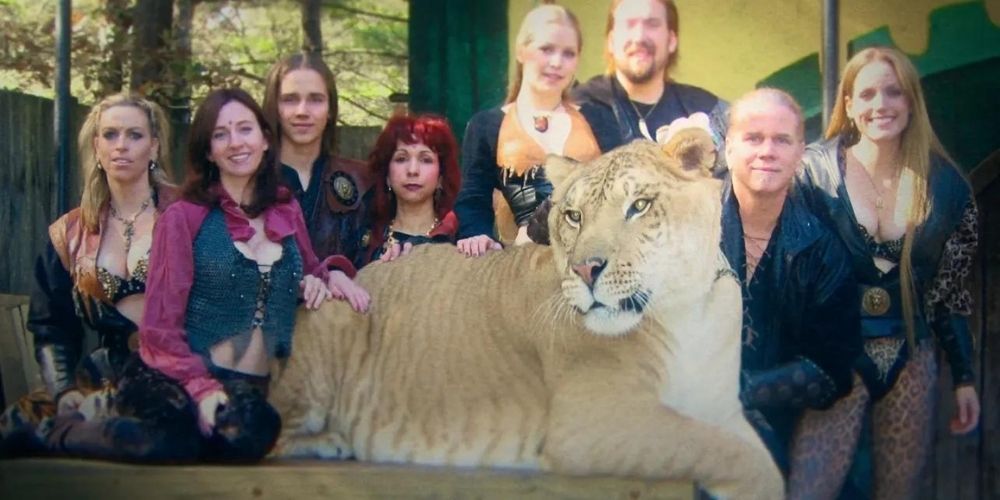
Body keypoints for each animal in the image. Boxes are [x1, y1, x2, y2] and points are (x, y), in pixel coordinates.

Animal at [270, 131, 784, 498]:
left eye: (639, 206)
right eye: (574, 216)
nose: (585, 268)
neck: (686, 309)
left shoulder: (721, 410)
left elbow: (754, 453)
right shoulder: (590, 425)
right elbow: (733, 456)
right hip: (336, 316)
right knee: (268, 434)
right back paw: (332, 441)